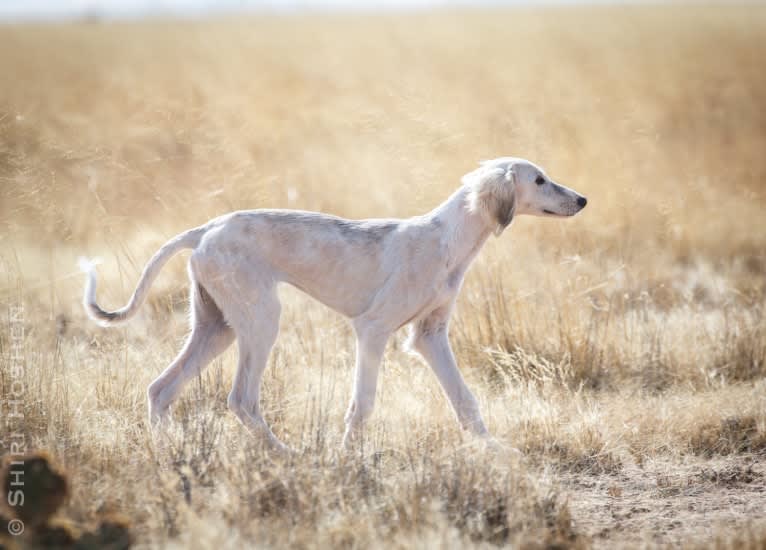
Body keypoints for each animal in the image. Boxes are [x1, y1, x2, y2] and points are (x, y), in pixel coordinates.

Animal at [82, 157, 588, 450]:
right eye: (539, 180)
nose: (583, 199)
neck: (448, 239)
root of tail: (205, 228)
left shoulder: (429, 336)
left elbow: (465, 400)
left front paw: (494, 452)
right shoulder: (373, 330)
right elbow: (362, 404)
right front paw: (348, 459)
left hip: (217, 326)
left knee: (160, 388)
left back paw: (168, 454)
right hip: (261, 321)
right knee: (240, 399)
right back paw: (288, 456)